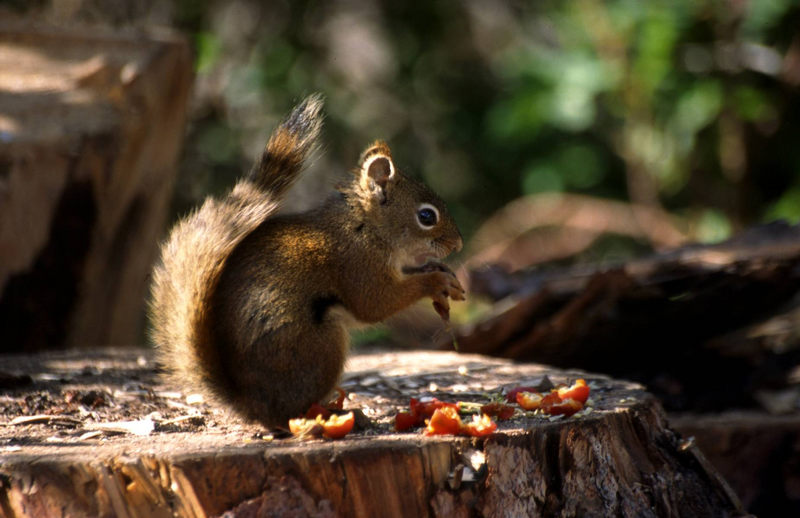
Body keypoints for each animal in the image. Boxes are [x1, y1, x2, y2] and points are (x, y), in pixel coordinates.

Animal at [147, 95, 466, 428]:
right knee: (290, 414)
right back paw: (337, 415)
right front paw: (435, 281)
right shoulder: (357, 264)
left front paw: (442, 273)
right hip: (319, 345)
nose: (458, 244)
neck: (365, 226)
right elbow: (376, 302)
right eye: (427, 216)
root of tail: (250, 404)